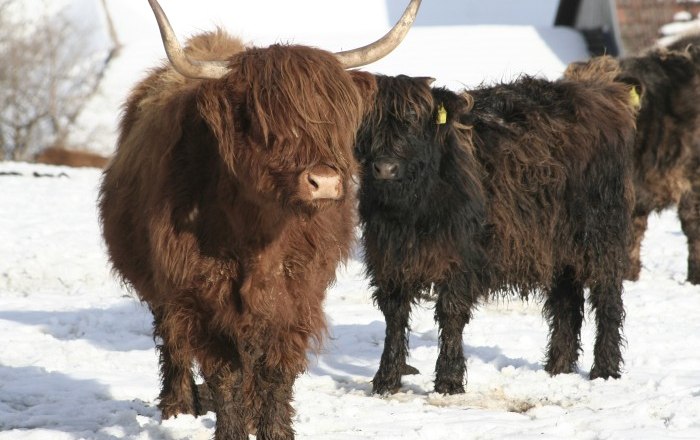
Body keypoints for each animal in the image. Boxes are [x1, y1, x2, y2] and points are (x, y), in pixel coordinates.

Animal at [98, 1, 420, 439]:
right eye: (267, 123)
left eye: (334, 119)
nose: (325, 182)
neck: (259, 237)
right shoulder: (200, 298)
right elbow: (224, 373)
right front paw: (230, 428)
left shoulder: (298, 296)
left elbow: (276, 370)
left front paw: (274, 429)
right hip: (163, 291)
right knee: (174, 343)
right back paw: (177, 407)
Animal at [354, 61, 637, 396]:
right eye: (370, 124)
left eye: (412, 120)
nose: (385, 168)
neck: (411, 211)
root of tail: (599, 93)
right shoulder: (387, 257)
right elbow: (394, 314)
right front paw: (386, 379)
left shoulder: (461, 256)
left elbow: (451, 311)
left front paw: (449, 381)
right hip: (556, 244)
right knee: (566, 302)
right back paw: (557, 367)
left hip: (599, 234)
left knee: (607, 297)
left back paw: (604, 369)